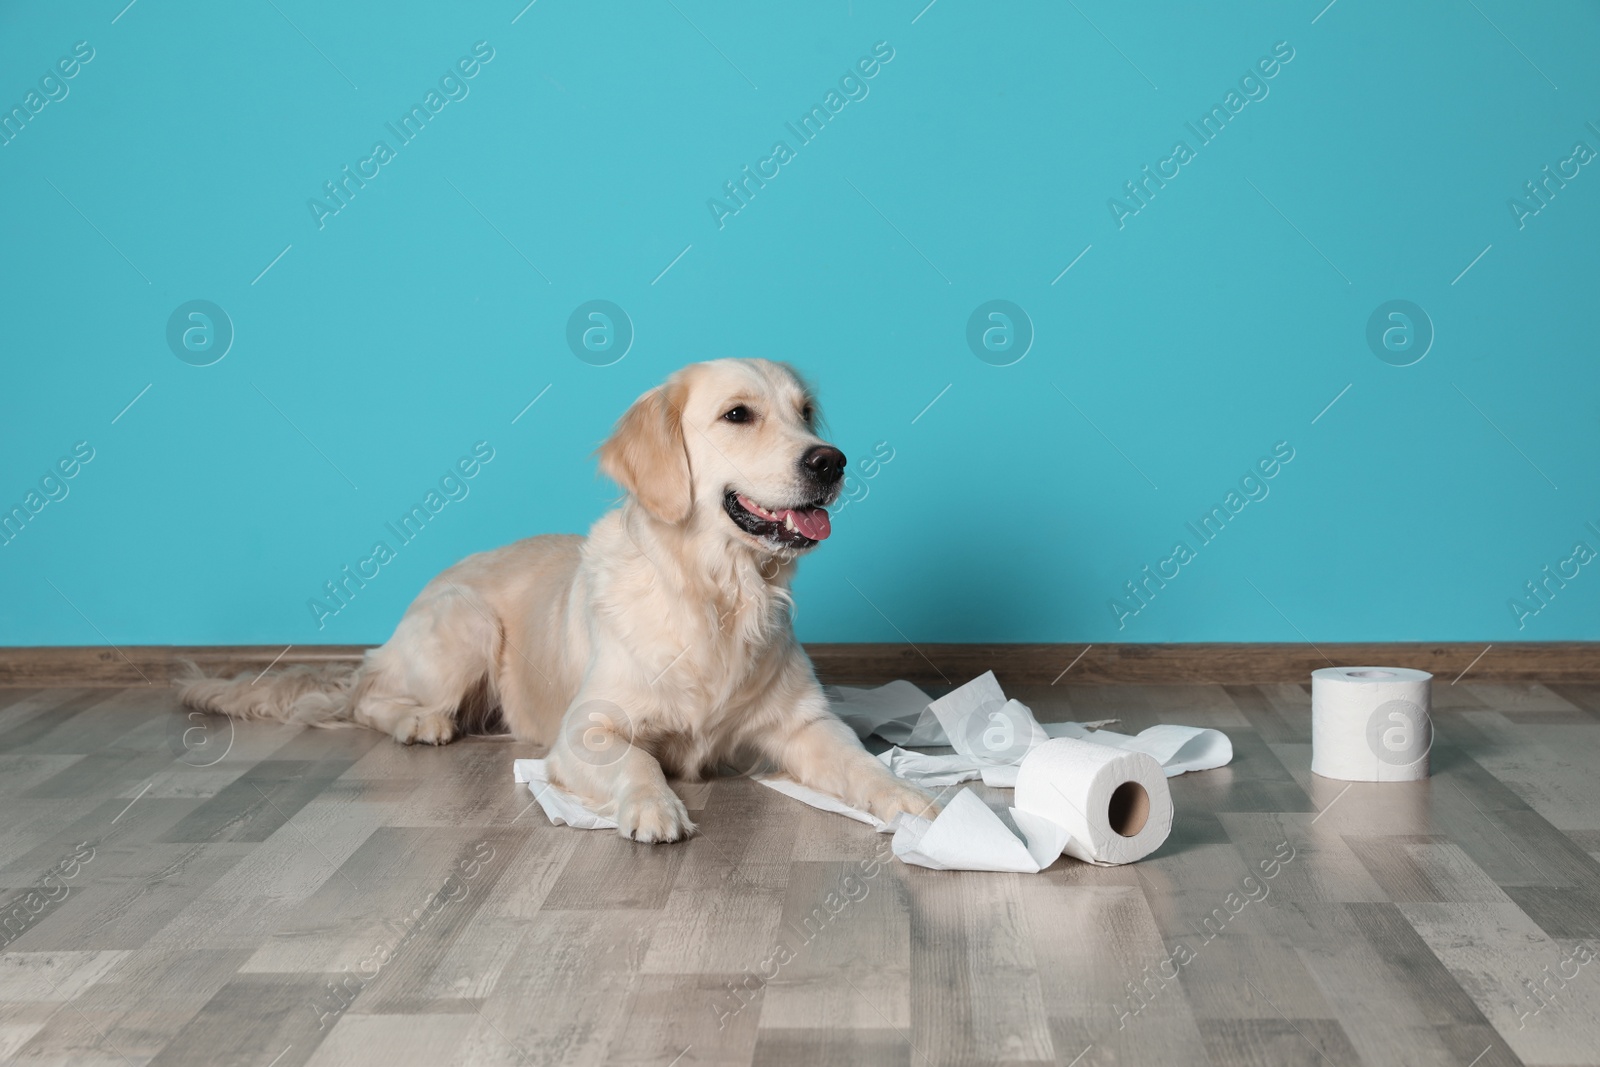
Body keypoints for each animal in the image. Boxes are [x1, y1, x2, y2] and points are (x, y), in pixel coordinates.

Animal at [184, 358, 934, 844]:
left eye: (805, 413)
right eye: (737, 414)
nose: (831, 460)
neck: (716, 594)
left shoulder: (806, 724)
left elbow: (861, 763)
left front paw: (913, 799)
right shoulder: (586, 731)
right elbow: (636, 760)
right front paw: (653, 807)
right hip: (466, 621)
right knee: (370, 696)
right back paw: (420, 721)